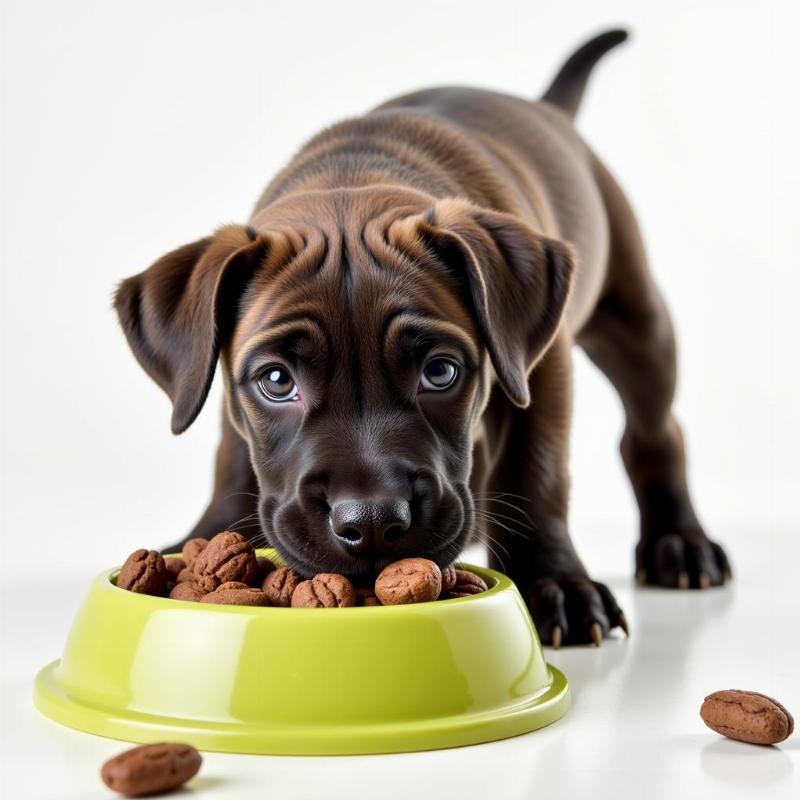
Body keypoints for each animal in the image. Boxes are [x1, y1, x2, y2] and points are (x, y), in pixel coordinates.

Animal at [114, 31, 732, 644]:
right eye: (276, 381)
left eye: (440, 371)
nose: (372, 524)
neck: (352, 178)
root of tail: (545, 109)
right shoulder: (222, 383)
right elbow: (233, 463)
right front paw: (205, 537)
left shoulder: (540, 368)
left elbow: (536, 468)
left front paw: (554, 580)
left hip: (637, 324)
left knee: (654, 430)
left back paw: (679, 541)